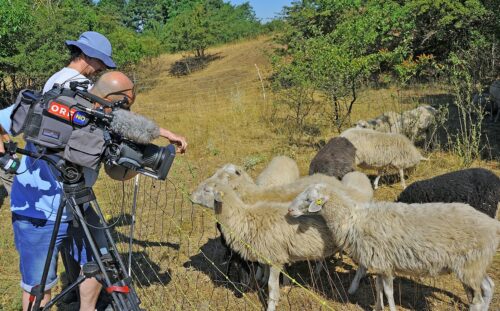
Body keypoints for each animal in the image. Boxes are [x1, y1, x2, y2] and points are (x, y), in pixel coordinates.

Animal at [290, 185, 500, 311]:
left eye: (309, 200)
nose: (290, 210)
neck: (352, 220)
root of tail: (492, 225)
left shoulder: (384, 262)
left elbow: (388, 291)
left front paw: (389, 308)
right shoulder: (380, 263)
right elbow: (378, 287)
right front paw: (378, 307)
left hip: (470, 265)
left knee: (478, 299)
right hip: (474, 264)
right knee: (489, 286)